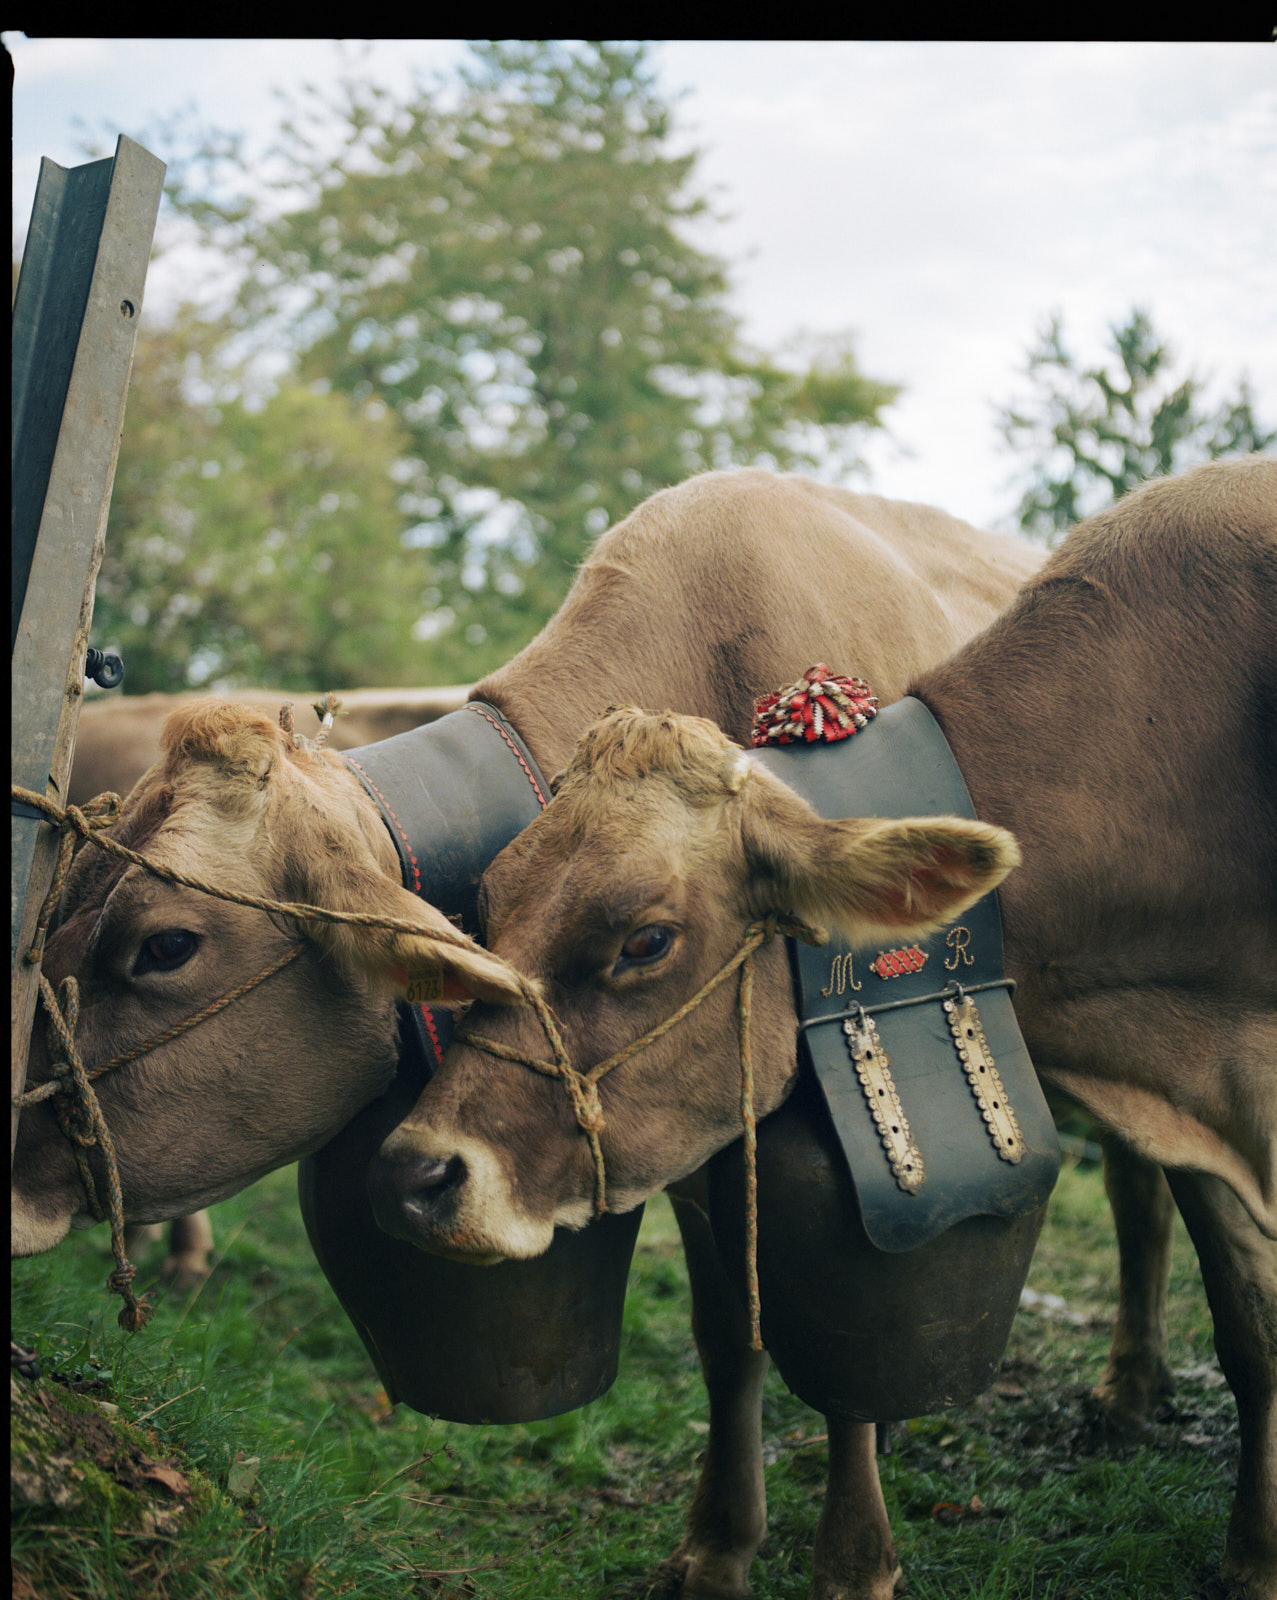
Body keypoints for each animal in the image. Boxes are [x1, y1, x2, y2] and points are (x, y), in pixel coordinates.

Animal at [366, 458, 1277, 1600]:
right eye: (484, 910)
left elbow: (1246, 1325)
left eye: (644, 940)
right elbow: (736, 1337)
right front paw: (718, 1543)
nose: (414, 1173)